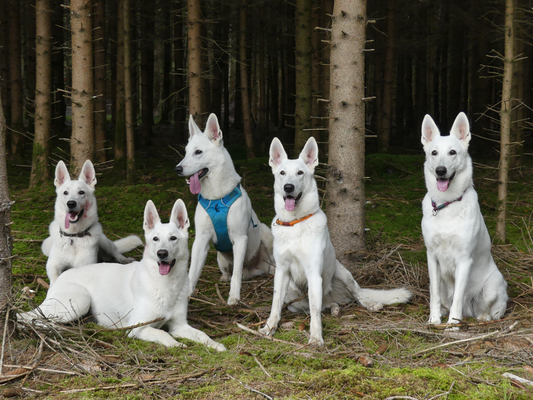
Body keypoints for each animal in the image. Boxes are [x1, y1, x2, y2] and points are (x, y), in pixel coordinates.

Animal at [19, 200, 224, 350]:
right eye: (155, 239)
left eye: (173, 238)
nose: (162, 254)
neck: (165, 284)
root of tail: (61, 277)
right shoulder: (138, 327)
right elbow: (162, 333)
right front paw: (175, 344)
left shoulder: (180, 326)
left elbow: (201, 334)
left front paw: (215, 344)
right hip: (79, 300)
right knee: (28, 317)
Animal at [42, 158, 141, 286]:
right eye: (65, 193)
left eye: (81, 192)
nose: (71, 203)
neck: (73, 236)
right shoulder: (52, 264)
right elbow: (54, 277)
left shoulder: (84, 266)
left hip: (104, 242)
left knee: (115, 251)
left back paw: (124, 259)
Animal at [176, 114, 274, 304]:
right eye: (185, 152)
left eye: (198, 152)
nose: (177, 169)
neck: (216, 199)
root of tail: (253, 269)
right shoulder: (200, 240)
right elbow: (192, 272)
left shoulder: (240, 239)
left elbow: (236, 274)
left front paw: (234, 297)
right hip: (220, 258)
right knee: (231, 272)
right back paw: (225, 277)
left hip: (267, 234)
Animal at [258, 137, 412, 344]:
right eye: (282, 173)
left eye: (300, 173)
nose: (288, 187)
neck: (296, 222)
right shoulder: (282, 272)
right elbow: (276, 305)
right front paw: (269, 327)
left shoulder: (314, 274)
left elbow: (315, 312)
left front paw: (316, 338)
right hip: (294, 301)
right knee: (323, 305)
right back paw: (335, 308)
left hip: (343, 274)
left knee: (357, 294)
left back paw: (370, 304)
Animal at [420, 111, 508, 324]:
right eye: (434, 153)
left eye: (452, 152)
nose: (440, 170)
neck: (447, 204)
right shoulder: (431, 257)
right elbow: (434, 293)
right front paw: (434, 320)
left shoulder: (464, 260)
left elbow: (458, 298)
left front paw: (453, 324)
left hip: (495, 283)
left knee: (494, 310)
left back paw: (482, 317)